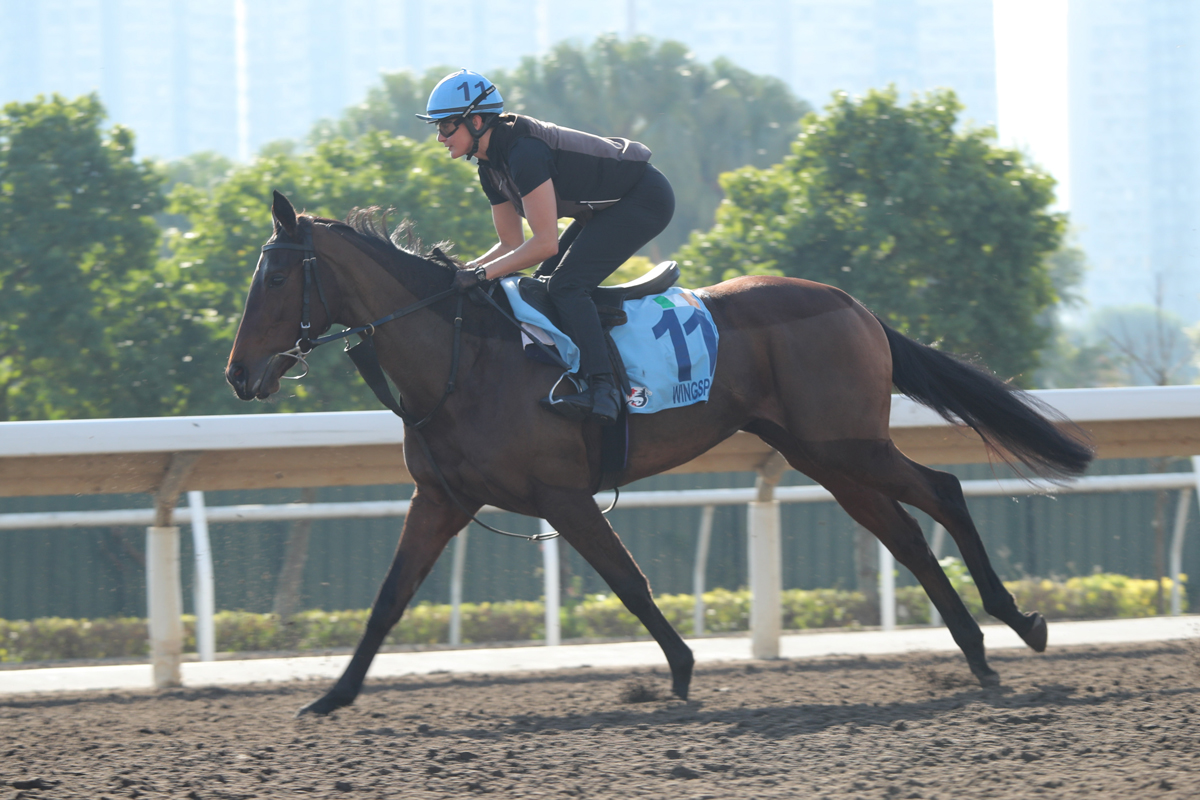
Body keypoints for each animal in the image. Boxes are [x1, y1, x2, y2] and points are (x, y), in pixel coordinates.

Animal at [226, 190, 1099, 714]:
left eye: (274, 280)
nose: (239, 374)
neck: (460, 358)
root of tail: (852, 302)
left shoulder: (562, 495)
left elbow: (628, 581)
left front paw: (679, 670)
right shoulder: (442, 498)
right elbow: (388, 599)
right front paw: (331, 697)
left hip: (844, 440)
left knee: (943, 490)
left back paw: (1017, 627)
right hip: (822, 453)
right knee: (907, 533)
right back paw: (977, 653)